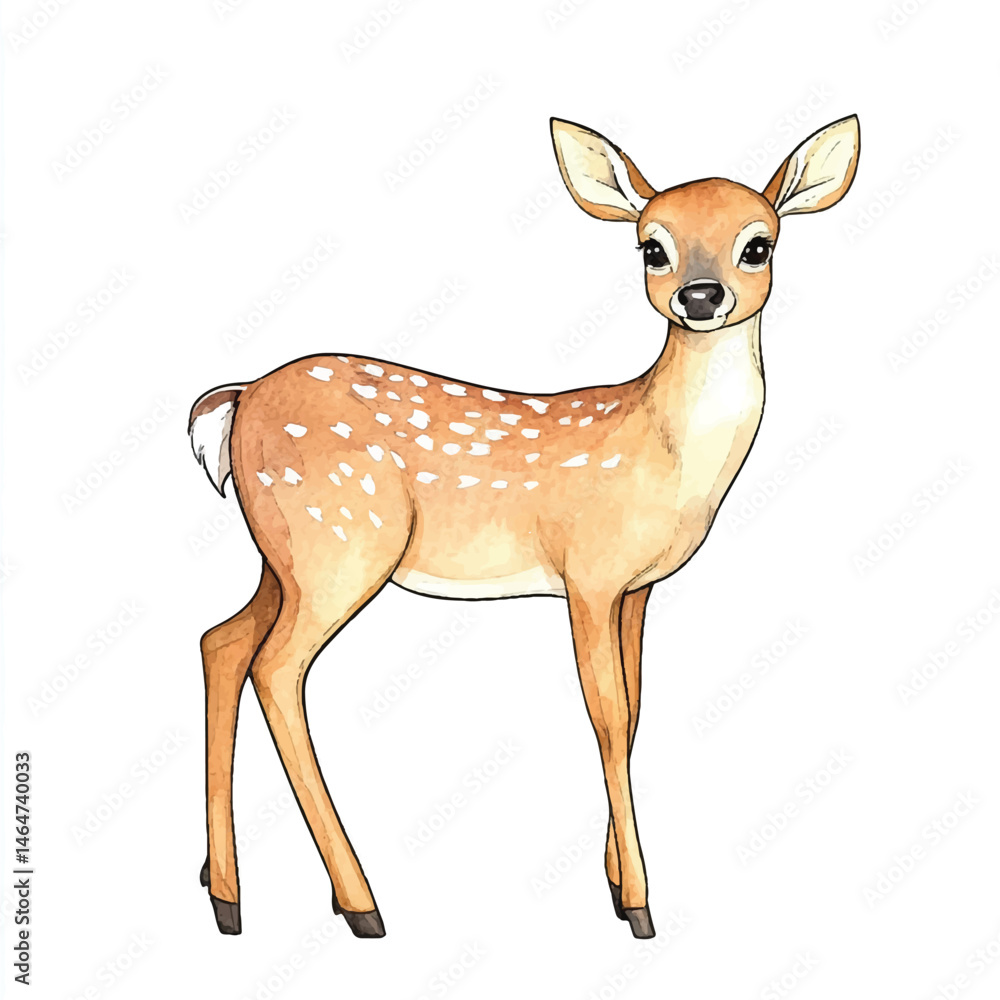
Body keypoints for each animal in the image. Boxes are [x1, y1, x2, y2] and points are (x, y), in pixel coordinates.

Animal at [189, 114, 859, 940]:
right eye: (652, 246)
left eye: (758, 243)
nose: (701, 296)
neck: (664, 453)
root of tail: (237, 399)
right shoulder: (589, 571)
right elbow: (607, 717)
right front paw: (640, 903)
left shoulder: (636, 588)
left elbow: (635, 709)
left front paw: (614, 882)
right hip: (341, 539)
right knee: (276, 668)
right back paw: (360, 902)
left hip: (282, 551)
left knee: (222, 642)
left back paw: (224, 894)